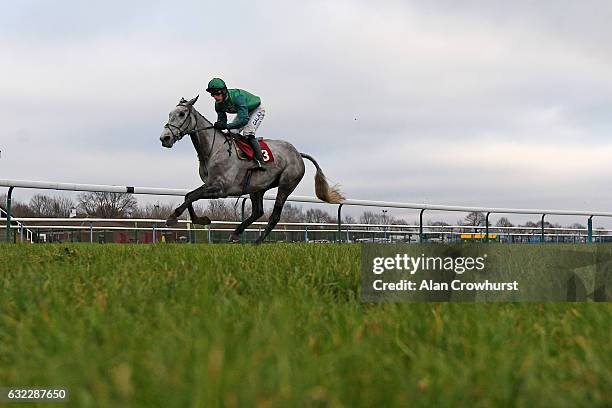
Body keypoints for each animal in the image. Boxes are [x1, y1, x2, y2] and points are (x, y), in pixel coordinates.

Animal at [158, 95, 344, 242]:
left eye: (181, 114)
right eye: (170, 114)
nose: (164, 138)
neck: (213, 149)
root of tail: (298, 153)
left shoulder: (221, 188)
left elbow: (192, 196)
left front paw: (173, 217)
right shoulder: (210, 184)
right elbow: (189, 195)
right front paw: (201, 219)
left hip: (287, 183)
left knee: (274, 216)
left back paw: (257, 242)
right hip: (257, 187)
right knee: (257, 211)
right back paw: (236, 233)